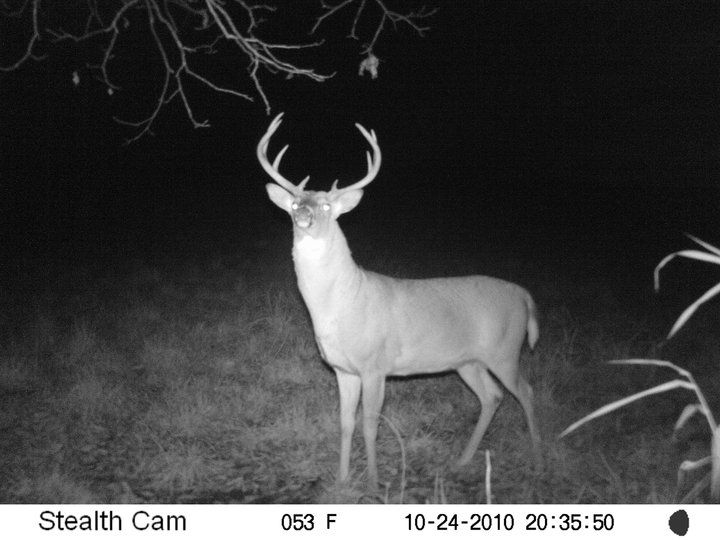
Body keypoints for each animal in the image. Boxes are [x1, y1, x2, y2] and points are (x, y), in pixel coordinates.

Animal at [259, 113, 541, 490]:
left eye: (327, 205)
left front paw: (374, 483)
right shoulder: (343, 369)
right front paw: (342, 479)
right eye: (293, 204)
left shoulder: (375, 365)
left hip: (505, 351)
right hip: (468, 361)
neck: (341, 305)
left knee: (526, 392)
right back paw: (463, 460)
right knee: (492, 396)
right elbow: (345, 423)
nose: (304, 214)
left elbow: (370, 424)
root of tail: (524, 295)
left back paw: (540, 459)